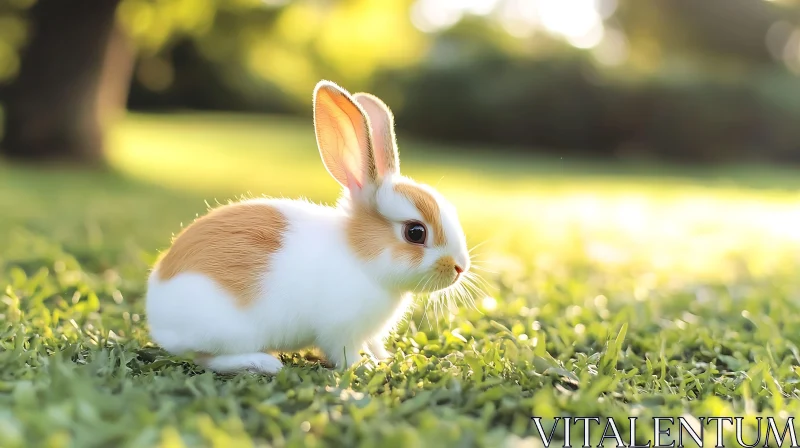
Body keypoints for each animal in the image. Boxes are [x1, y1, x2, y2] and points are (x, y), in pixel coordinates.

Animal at [145, 81, 472, 374]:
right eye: (415, 232)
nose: (460, 268)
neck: (361, 258)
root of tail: (156, 308)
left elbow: (375, 344)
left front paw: (384, 358)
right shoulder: (340, 331)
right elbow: (345, 355)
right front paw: (367, 367)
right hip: (227, 333)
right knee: (207, 358)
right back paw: (263, 364)